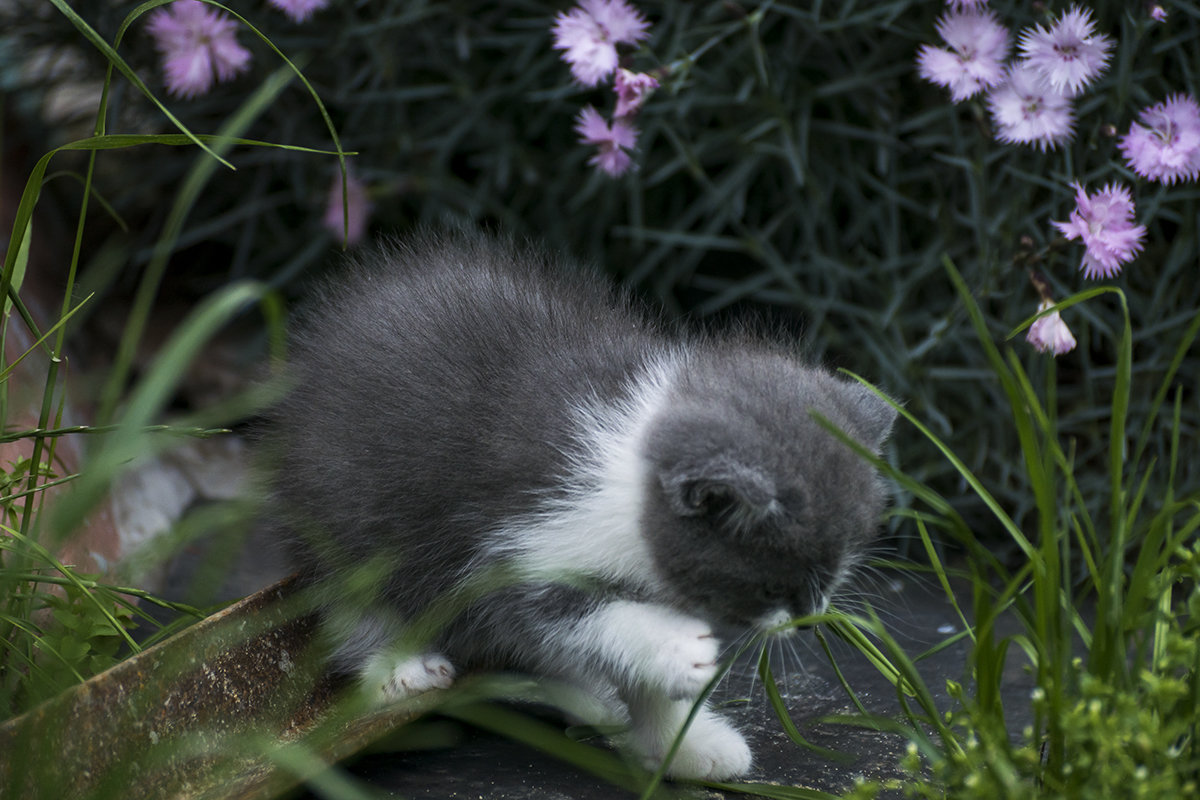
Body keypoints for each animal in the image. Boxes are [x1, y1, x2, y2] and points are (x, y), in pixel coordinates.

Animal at [267, 227, 897, 777]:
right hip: (339, 499)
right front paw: (674, 651)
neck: (632, 465)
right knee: (350, 590)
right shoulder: (518, 543)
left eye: (831, 579)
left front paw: (682, 745)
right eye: (770, 589)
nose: (812, 619)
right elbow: (578, 616)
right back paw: (398, 666)